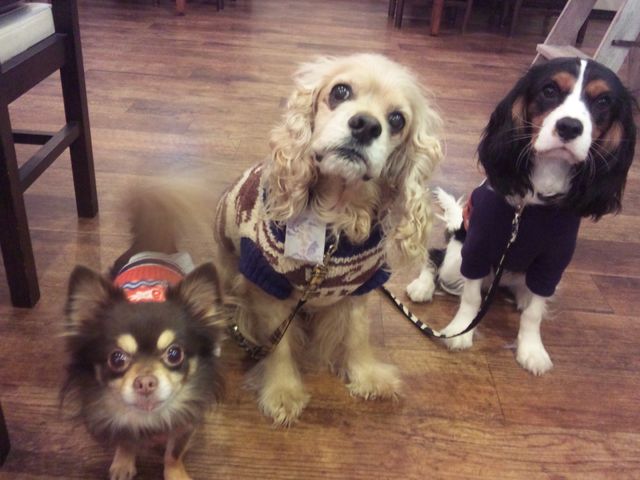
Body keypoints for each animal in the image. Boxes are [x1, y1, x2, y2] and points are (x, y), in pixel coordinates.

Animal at [61, 184, 228, 480]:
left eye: (174, 354)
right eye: (116, 358)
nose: (146, 382)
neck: (150, 418)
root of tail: (153, 244)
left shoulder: (186, 422)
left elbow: (174, 452)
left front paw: (175, 474)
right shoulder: (120, 420)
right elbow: (126, 439)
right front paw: (123, 463)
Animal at [214, 53, 443, 425]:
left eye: (397, 119)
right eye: (340, 91)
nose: (366, 125)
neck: (335, 218)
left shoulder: (361, 285)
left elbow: (358, 335)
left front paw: (367, 376)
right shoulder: (268, 284)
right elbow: (280, 346)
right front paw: (282, 393)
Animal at [406, 57, 636, 375]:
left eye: (603, 101)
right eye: (549, 90)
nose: (569, 126)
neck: (532, 200)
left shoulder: (552, 264)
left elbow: (534, 313)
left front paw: (531, 349)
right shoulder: (478, 248)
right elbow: (471, 297)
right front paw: (461, 331)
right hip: (456, 258)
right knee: (436, 258)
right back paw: (422, 286)